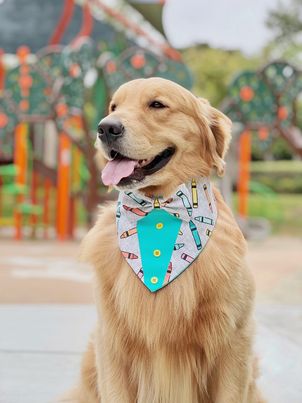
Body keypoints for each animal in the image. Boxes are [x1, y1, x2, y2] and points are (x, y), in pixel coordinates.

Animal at [60, 77, 264, 402]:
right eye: (114, 106)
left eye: (157, 104)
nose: (106, 128)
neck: (159, 210)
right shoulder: (112, 342)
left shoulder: (234, 339)